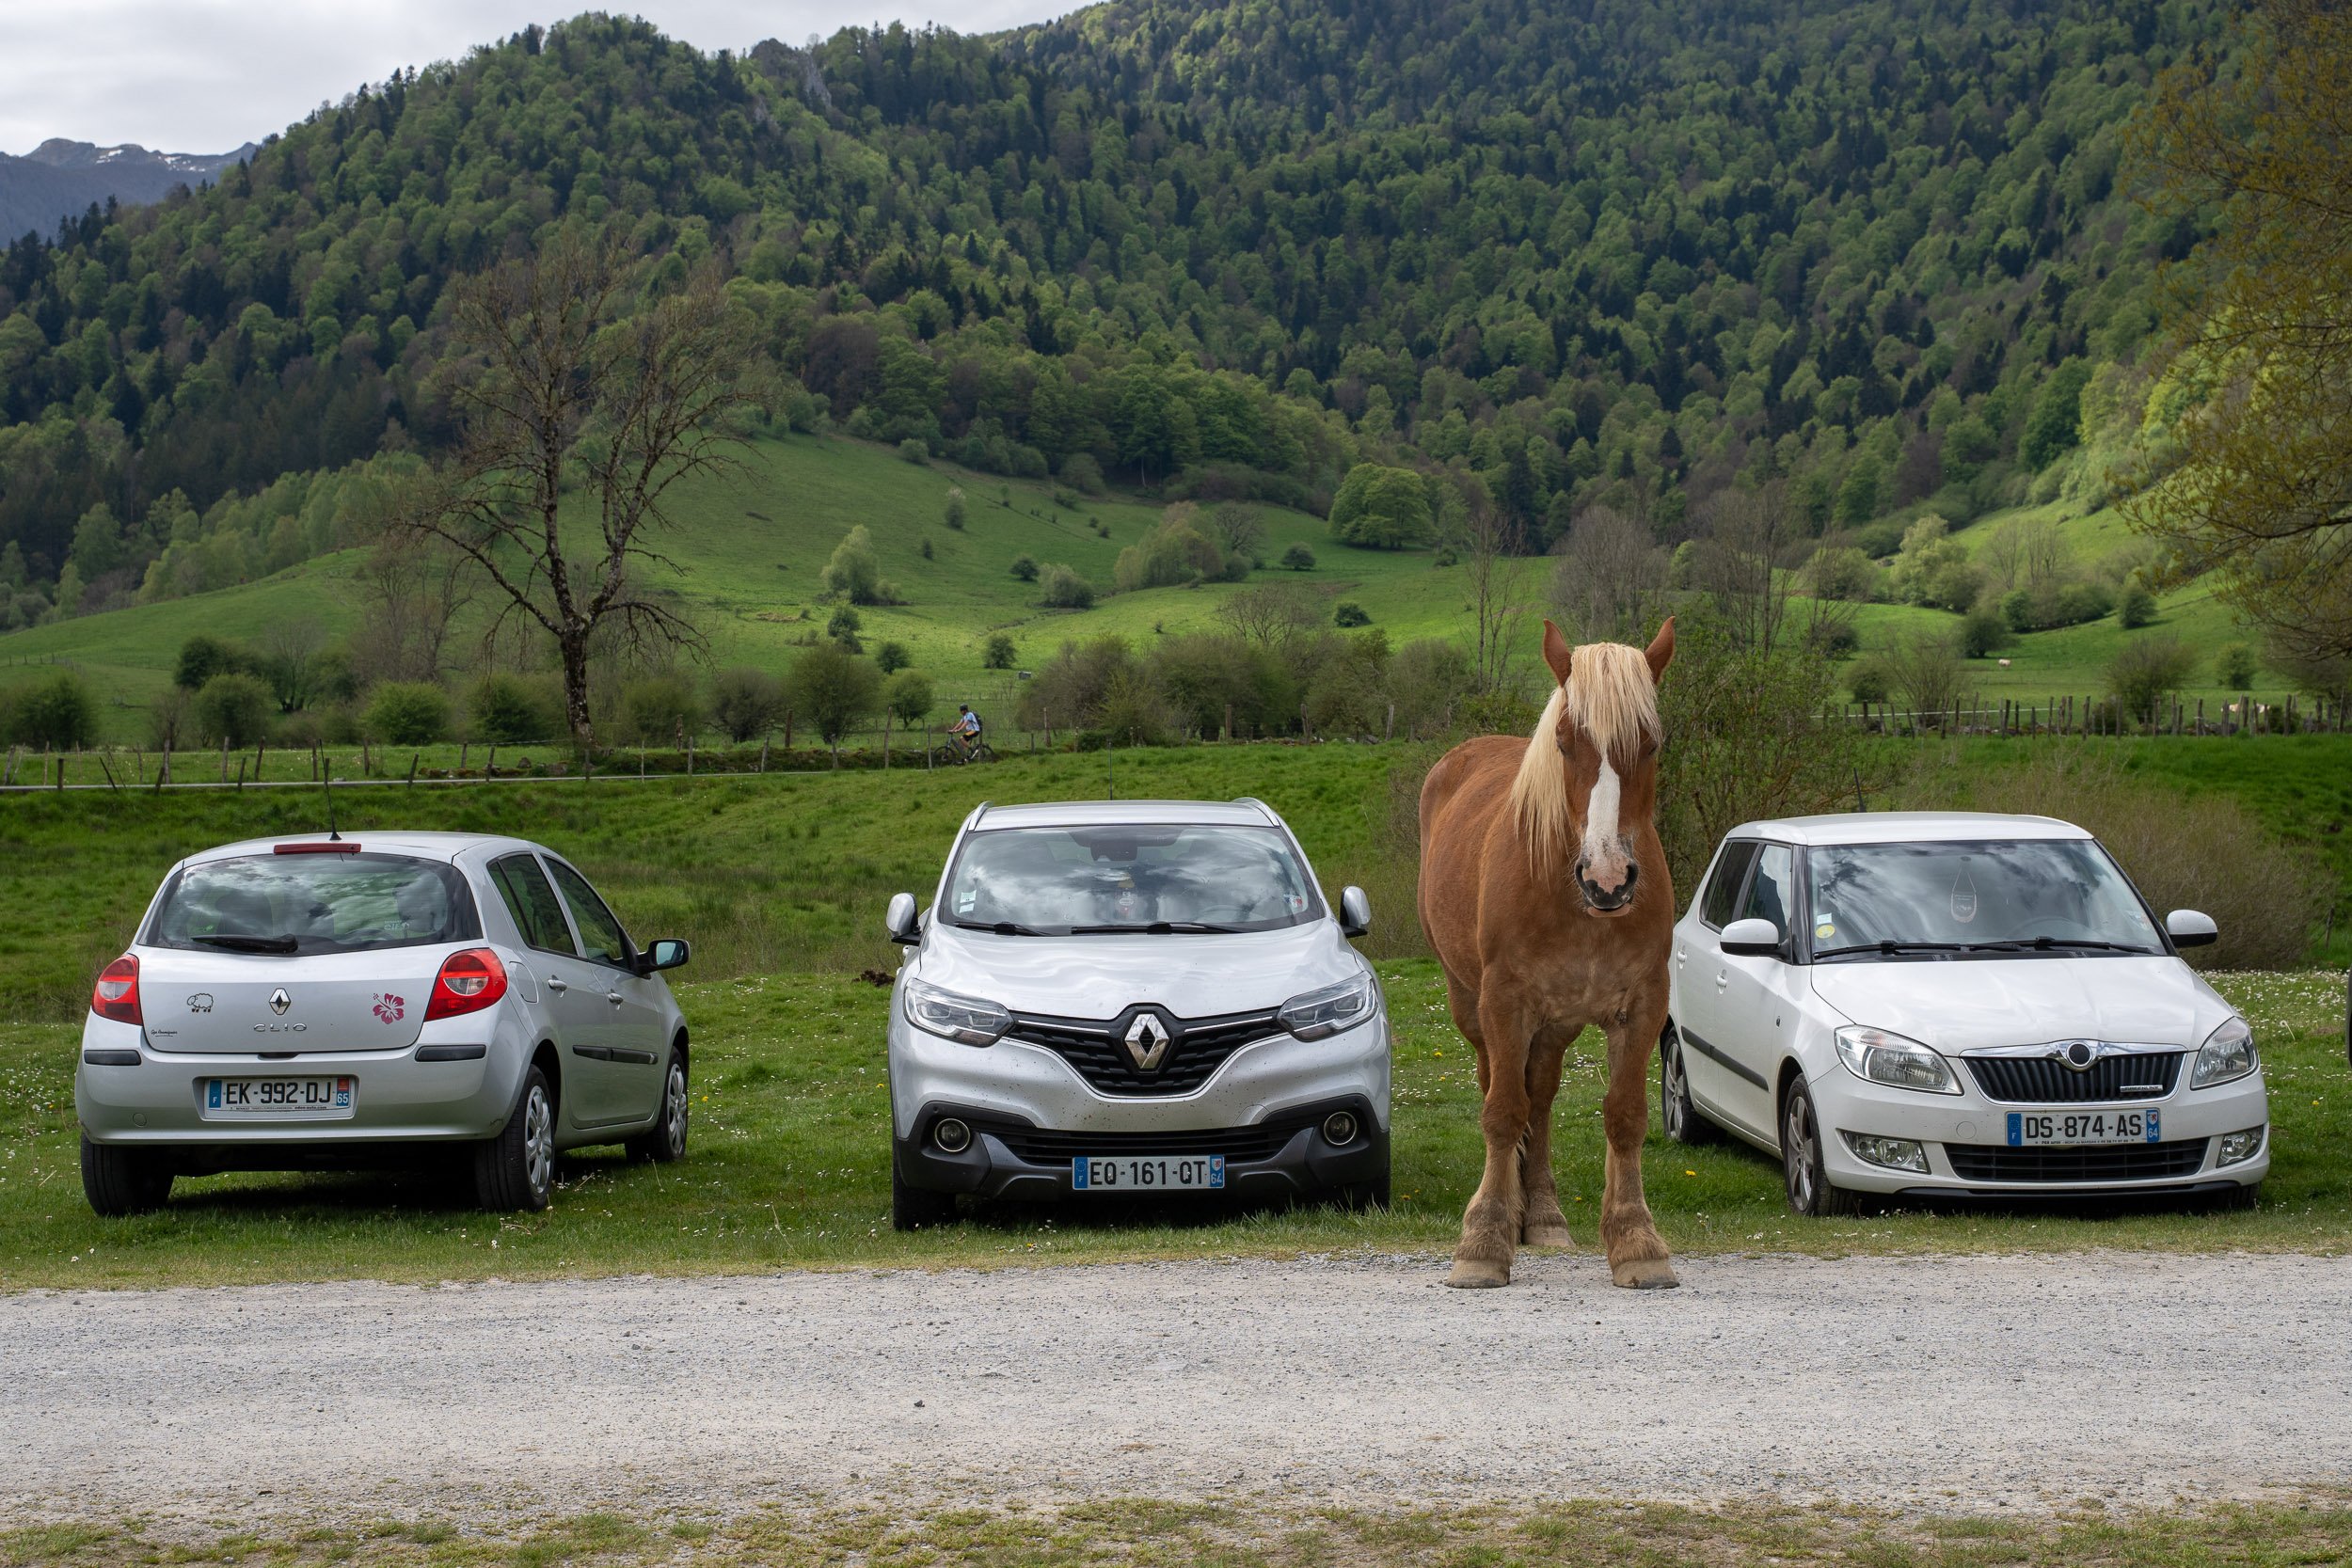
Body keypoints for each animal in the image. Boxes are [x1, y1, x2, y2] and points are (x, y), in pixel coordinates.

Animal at [1416, 616, 1679, 1290]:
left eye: (1652, 743)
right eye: (1564, 742)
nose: (1608, 880)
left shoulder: (1643, 1004)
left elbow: (1624, 1116)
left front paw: (1636, 1241)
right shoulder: (1504, 1002)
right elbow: (1502, 1113)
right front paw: (1483, 1241)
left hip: (1556, 1025)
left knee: (1543, 1093)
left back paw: (1540, 1214)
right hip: (1473, 1005)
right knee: (1500, 1086)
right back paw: (1507, 1211)